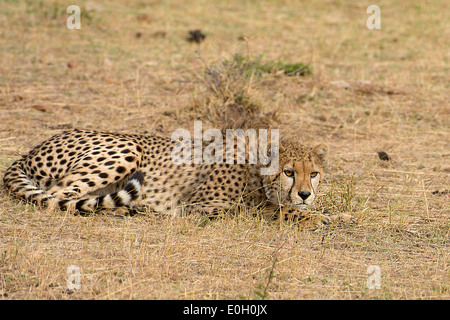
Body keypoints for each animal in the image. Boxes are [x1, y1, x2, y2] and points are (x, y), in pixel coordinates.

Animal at [2, 127, 344, 222]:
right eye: (288, 172)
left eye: (314, 173)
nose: (305, 193)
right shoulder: (203, 208)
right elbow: (270, 211)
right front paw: (314, 218)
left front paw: (337, 215)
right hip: (126, 148)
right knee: (57, 198)